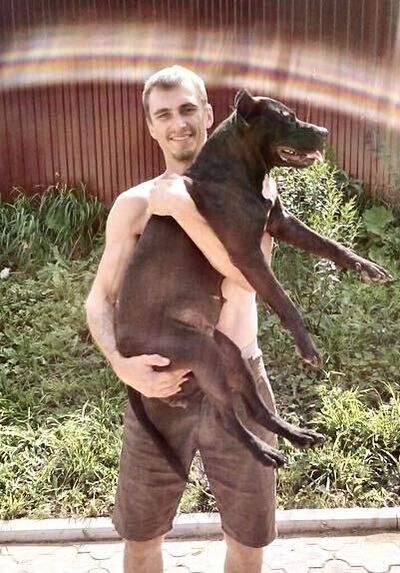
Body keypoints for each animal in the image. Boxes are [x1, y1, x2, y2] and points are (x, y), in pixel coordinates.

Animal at [115, 90, 392, 479]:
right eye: (287, 118)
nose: (324, 131)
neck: (238, 170)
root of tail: (124, 354)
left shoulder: (281, 222)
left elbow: (329, 245)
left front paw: (366, 267)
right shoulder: (246, 255)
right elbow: (284, 300)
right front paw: (308, 349)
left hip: (226, 351)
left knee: (256, 409)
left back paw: (297, 435)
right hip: (201, 353)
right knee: (227, 417)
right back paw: (264, 453)